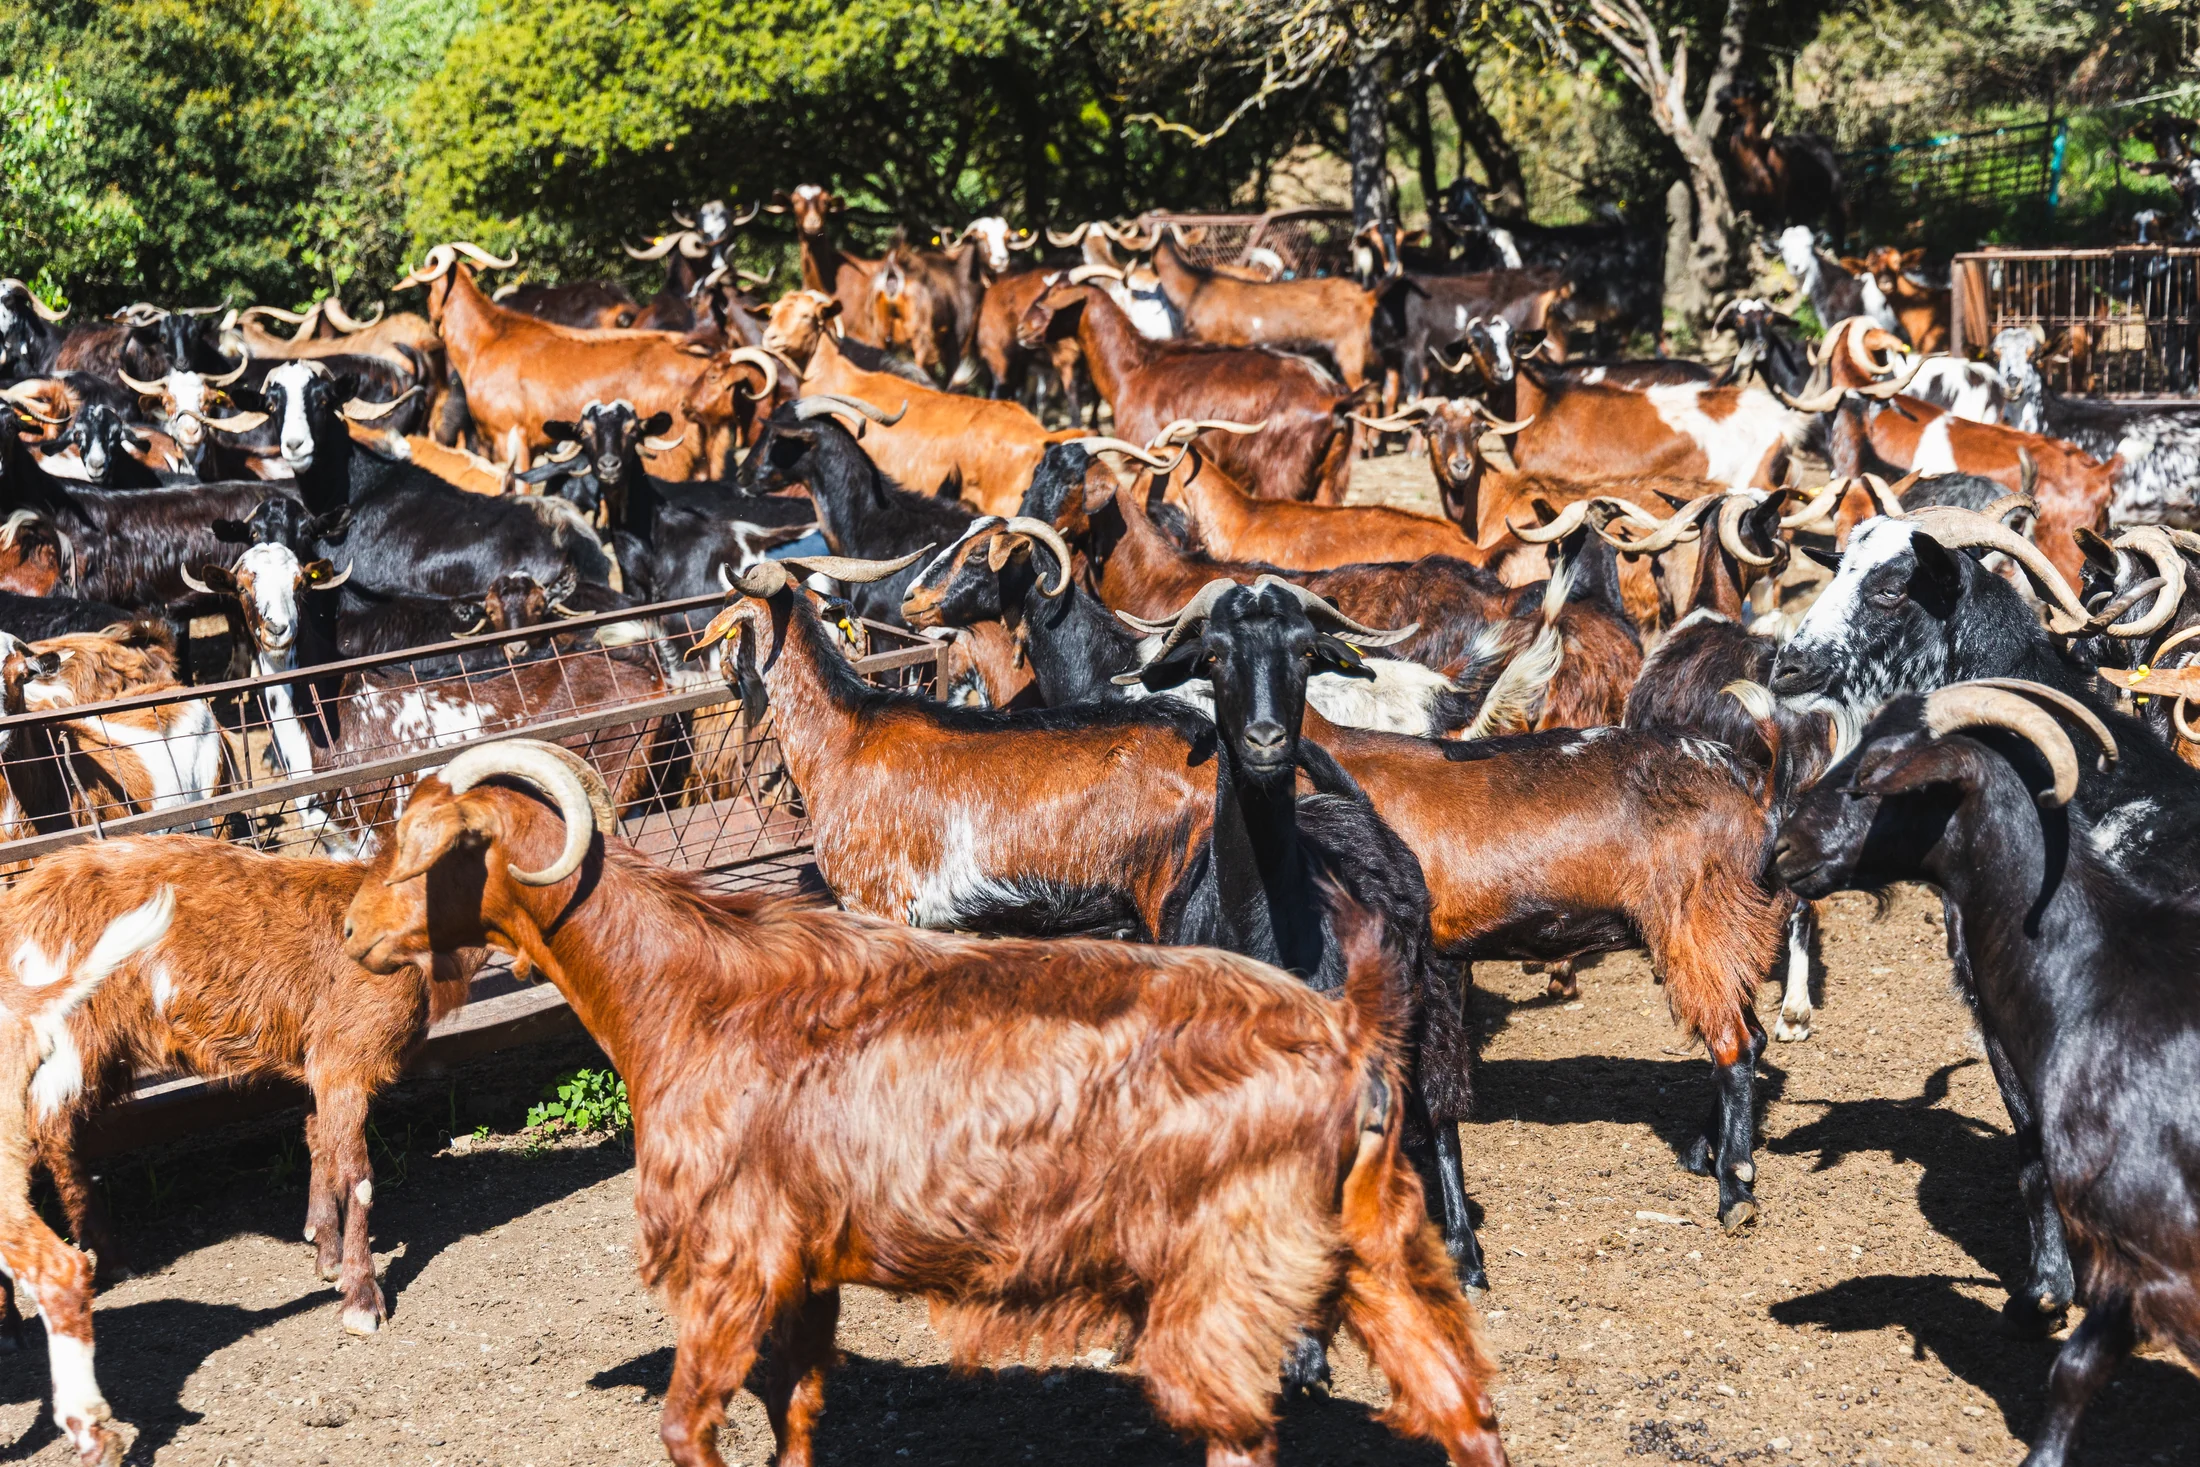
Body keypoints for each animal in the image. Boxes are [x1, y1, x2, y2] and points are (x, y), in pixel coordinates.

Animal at [340, 738, 1510, 1467]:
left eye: (429, 850)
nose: (351, 934)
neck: (681, 989)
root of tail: (1345, 1032)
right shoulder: (806, 1269)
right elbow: (799, 1416)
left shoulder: (731, 1255)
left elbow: (686, 1431)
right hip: (1373, 1248)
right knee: (1464, 1412)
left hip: (1220, 1278)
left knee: (1241, 1431)